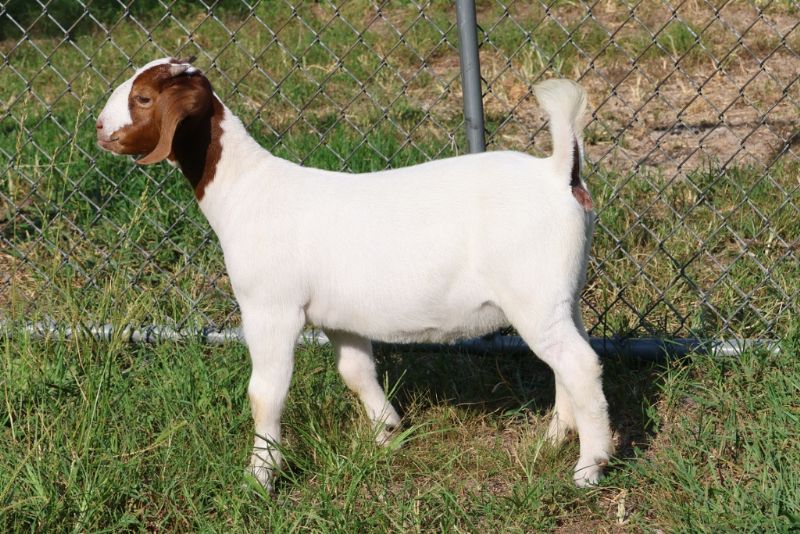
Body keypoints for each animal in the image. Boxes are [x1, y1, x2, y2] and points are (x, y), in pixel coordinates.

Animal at [96, 57, 613, 490]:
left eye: (144, 98)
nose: (99, 128)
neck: (246, 189)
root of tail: (559, 173)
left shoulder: (270, 308)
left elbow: (265, 393)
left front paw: (260, 476)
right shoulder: (339, 316)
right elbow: (356, 371)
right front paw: (387, 435)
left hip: (533, 294)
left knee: (580, 364)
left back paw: (589, 468)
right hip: (560, 294)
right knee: (568, 359)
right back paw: (554, 438)